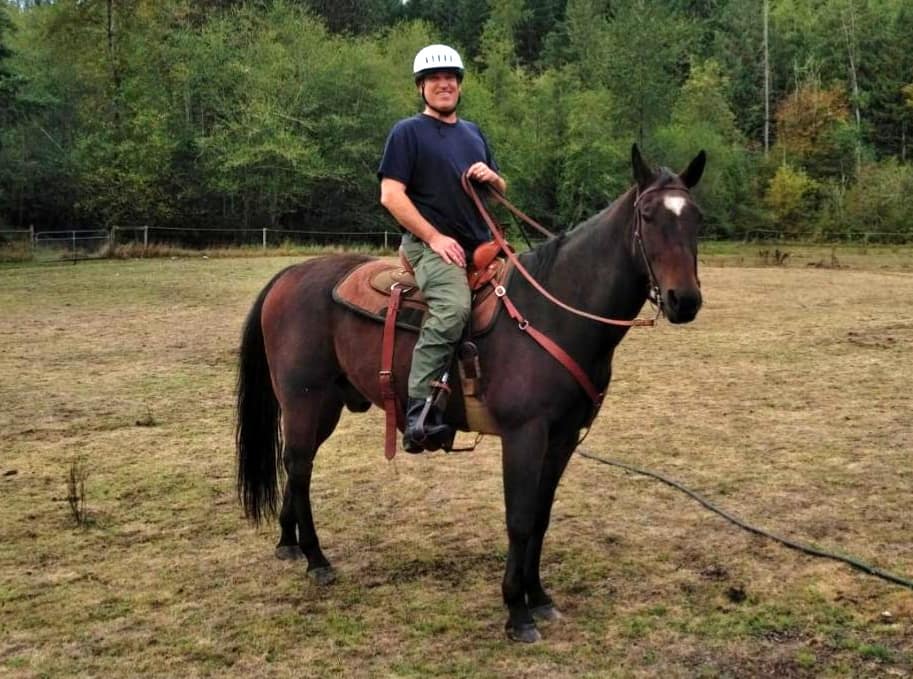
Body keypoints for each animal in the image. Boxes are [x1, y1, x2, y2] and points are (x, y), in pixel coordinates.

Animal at [235, 143, 704, 644]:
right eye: (648, 216)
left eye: (695, 217)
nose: (685, 301)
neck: (554, 311)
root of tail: (289, 273)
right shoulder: (524, 436)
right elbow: (519, 519)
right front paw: (516, 612)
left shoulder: (561, 438)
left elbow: (541, 516)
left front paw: (539, 598)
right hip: (306, 400)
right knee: (300, 466)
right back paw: (316, 558)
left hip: (326, 404)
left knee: (297, 467)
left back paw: (290, 544)